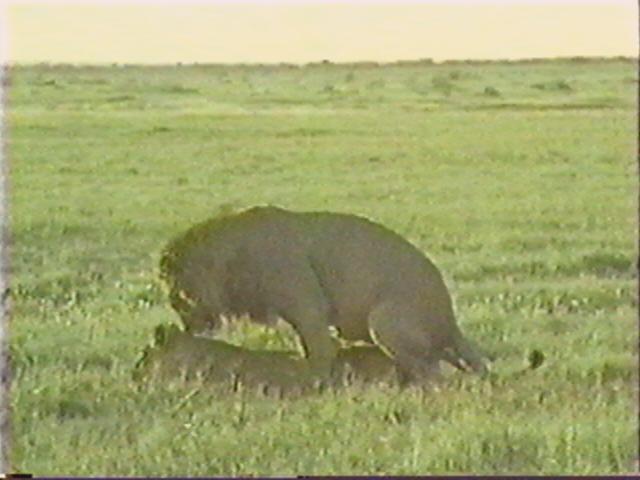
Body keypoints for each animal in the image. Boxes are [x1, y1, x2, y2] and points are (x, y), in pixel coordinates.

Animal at [159, 206, 489, 383]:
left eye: (181, 296)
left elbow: (318, 353)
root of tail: (449, 318)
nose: (187, 328)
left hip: (382, 320)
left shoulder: (308, 308)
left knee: (431, 374)